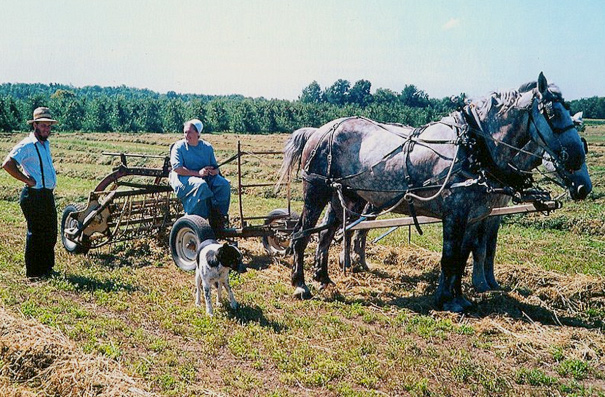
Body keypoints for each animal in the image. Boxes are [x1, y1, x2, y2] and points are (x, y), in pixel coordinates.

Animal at [280, 72, 588, 310]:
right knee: (301, 234)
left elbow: (463, 257)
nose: (583, 182)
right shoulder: (456, 213)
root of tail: (318, 130)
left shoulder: (476, 215)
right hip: (316, 190)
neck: (474, 146)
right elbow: (450, 256)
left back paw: (323, 277)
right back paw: (301, 284)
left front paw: (460, 297)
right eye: (552, 113)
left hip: (346, 196)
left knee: (327, 233)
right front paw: (446, 299)